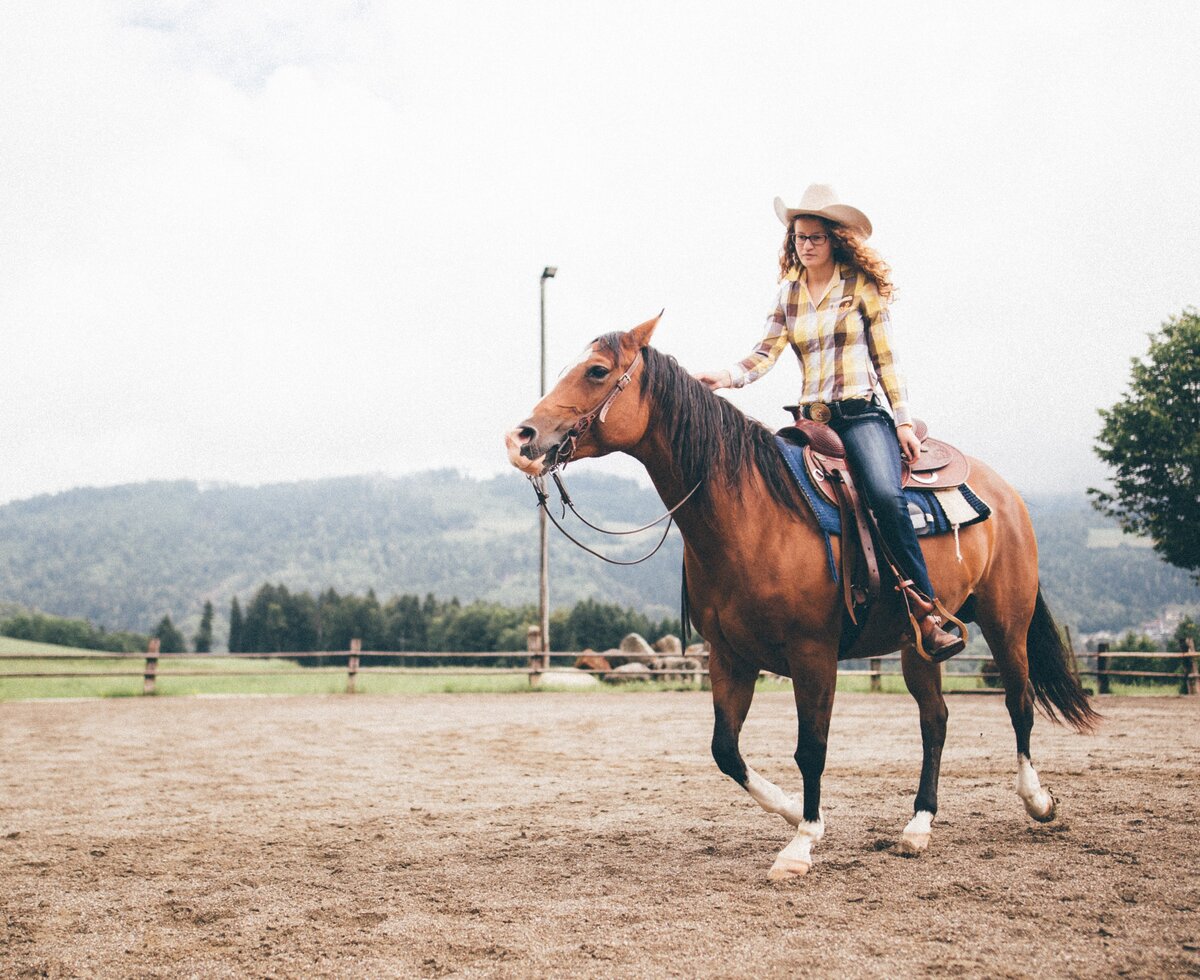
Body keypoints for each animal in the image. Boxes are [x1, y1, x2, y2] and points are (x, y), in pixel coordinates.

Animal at [501, 314, 1099, 878]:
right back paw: (918, 825)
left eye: (597, 371)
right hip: (919, 643)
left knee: (1018, 702)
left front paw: (802, 843)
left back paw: (1037, 800)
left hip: (1006, 622)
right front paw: (793, 810)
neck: (751, 512)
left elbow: (811, 748)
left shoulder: (814, 653)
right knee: (936, 719)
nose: (521, 438)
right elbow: (725, 750)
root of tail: (1006, 492)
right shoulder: (729, 657)